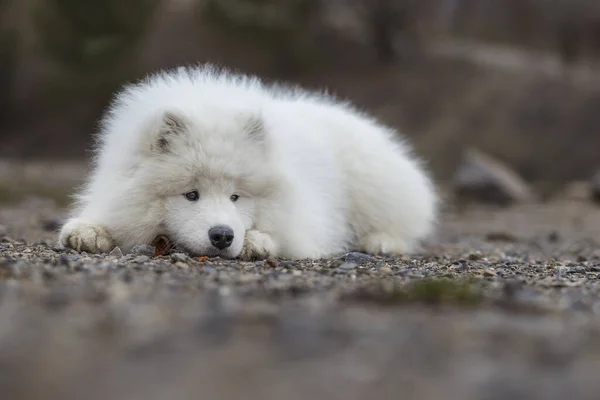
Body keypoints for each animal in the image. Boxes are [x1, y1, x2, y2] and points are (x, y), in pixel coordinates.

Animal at [58, 64, 438, 260]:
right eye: (191, 194)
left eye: (236, 196)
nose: (222, 236)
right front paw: (88, 231)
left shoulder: (305, 221)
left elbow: (282, 233)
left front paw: (256, 241)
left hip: (374, 185)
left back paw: (381, 241)